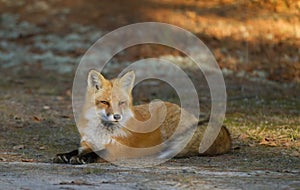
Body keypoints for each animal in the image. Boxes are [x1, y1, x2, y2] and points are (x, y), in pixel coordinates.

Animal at [53, 69, 232, 164]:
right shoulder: (87, 143)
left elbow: (96, 153)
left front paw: (81, 158)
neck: (103, 133)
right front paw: (66, 155)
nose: (116, 116)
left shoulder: (117, 149)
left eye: (121, 103)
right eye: (104, 102)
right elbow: (76, 150)